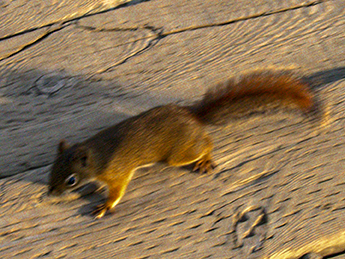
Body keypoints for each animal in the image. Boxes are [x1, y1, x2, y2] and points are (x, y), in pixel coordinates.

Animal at [47, 71, 320, 219]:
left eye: (71, 180)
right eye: (51, 169)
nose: (51, 193)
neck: (96, 154)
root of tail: (192, 116)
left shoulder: (117, 173)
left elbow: (117, 192)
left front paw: (104, 205)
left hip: (177, 154)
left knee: (206, 142)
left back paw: (205, 159)